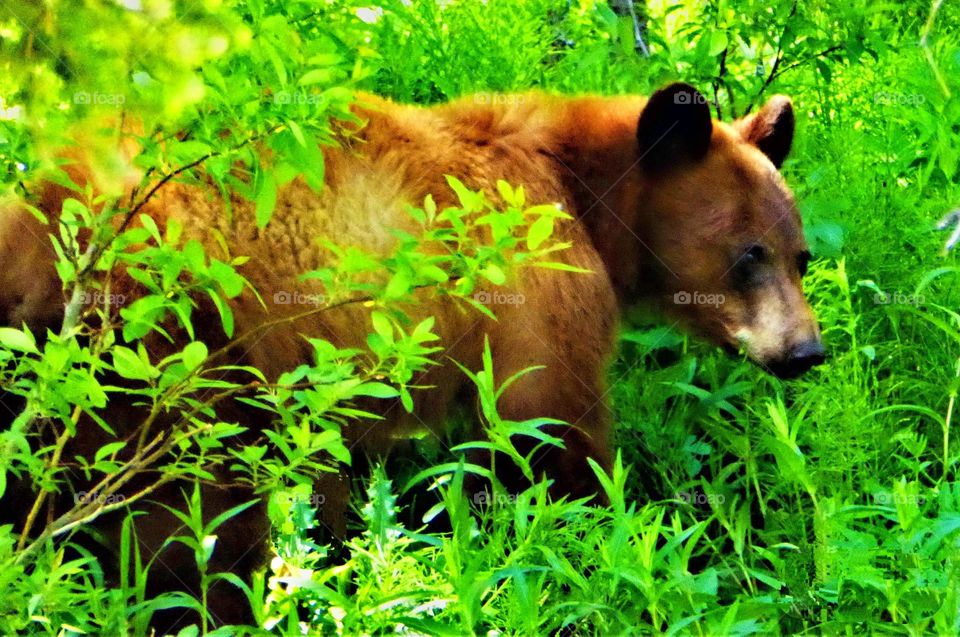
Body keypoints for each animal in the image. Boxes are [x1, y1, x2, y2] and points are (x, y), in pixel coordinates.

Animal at [0, 82, 823, 630]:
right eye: (747, 254)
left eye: (800, 255)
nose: (806, 350)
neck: (585, 192)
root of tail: (40, 234)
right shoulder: (534, 285)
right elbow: (548, 430)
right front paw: (601, 544)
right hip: (179, 358)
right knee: (197, 523)